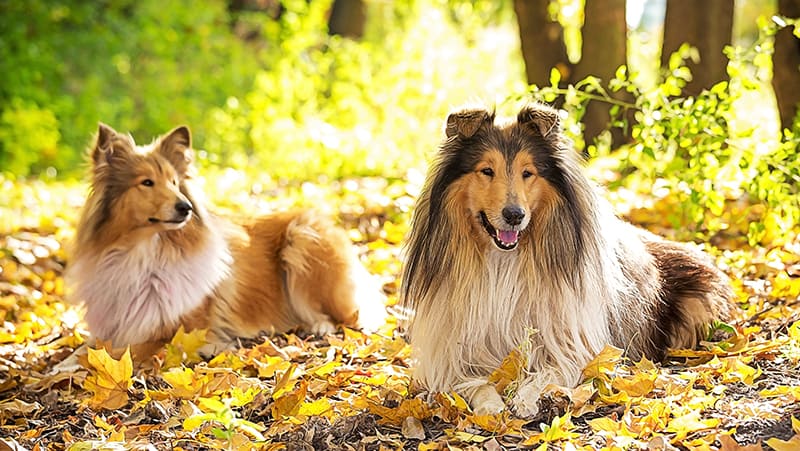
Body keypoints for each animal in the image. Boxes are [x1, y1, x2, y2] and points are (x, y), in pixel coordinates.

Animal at [67, 123, 386, 356]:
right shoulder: (112, 327)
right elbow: (85, 352)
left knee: (349, 316)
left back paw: (318, 325)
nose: (186, 207)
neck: (142, 254)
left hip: (302, 239)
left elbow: (126, 352)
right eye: (146, 182)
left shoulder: (183, 333)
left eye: (174, 182)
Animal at [404, 102, 736, 416]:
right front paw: (491, 406)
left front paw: (525, 398)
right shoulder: (451, 355)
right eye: (486, 171)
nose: (514, 215)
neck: (503, 262)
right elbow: (472, 383)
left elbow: (548, 371)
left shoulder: (576, 347)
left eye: (528, 172)